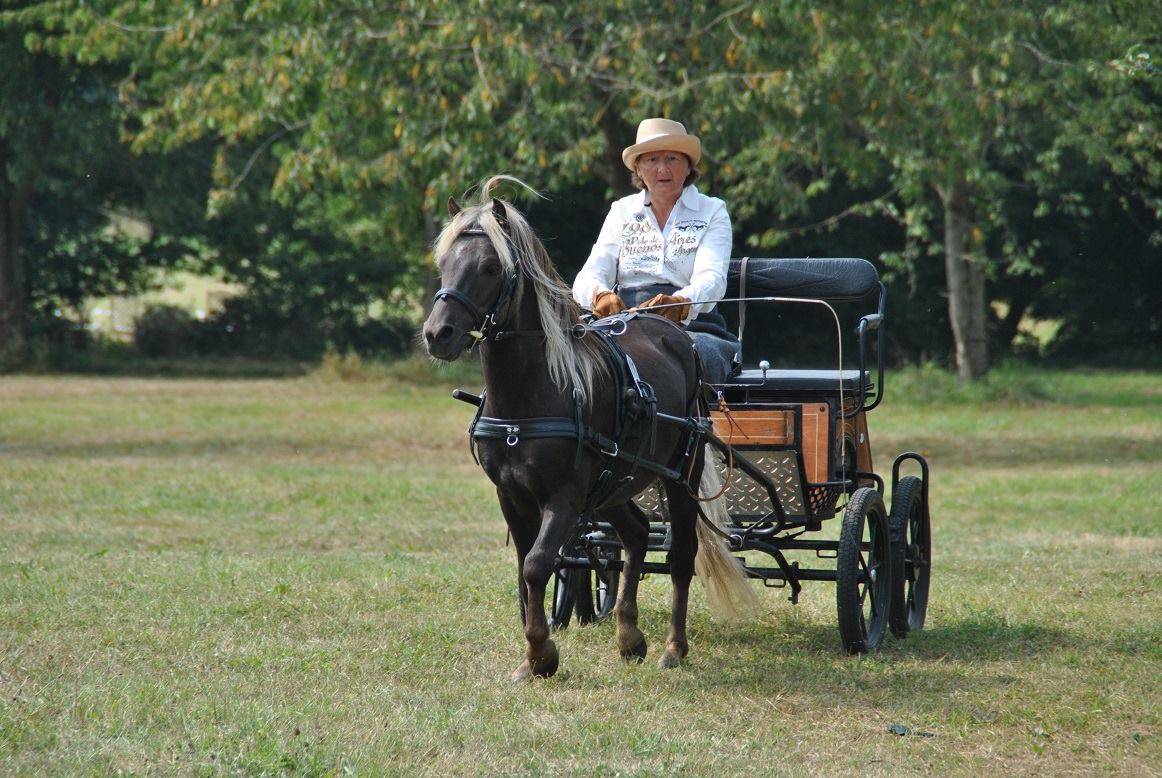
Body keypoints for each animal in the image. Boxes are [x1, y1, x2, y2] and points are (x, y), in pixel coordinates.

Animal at [422, 176, 754, 681]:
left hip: (681, 475)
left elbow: (538, 564)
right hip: (614, 483)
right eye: (444, 263)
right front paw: (531, 656)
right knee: (636, 533)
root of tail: (672, 333)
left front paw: (542, 654)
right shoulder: (512, 495)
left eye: (489, 267)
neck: (532, 397)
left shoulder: (564, 496)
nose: (437, 334)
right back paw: (629, 634)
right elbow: (525, 570)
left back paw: (673, 648)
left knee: (681, 556)